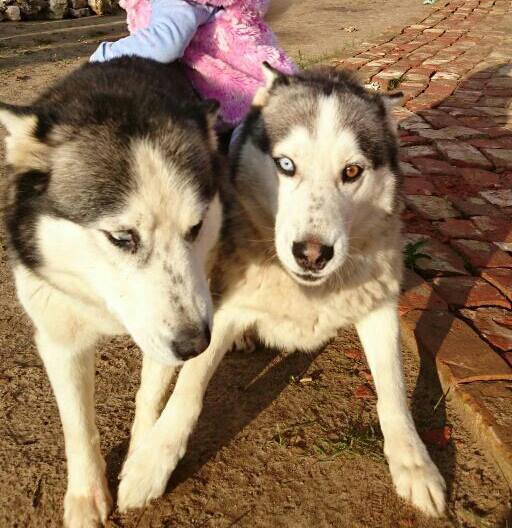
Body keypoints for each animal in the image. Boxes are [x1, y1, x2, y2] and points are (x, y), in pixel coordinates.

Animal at [0, 57, 223, 527]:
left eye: (194, 228)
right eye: (122, 237)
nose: (196, 345)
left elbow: (150, 395)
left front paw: (141, 459)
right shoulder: (59, 335)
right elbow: (77, 424)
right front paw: (86, 496)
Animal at [116, 64, 446, 519]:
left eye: (352, 172)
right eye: (285, 165)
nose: (312, 254)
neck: (303, 290)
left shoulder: (378, 304)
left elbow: (393, 390)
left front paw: (414, 463)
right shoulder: (225, 310)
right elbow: (187, 391)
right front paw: (152, 464)